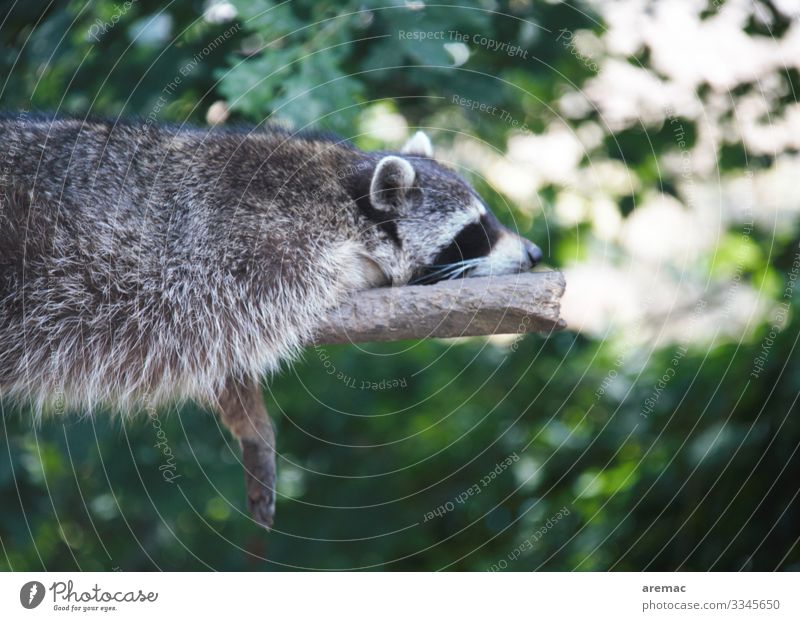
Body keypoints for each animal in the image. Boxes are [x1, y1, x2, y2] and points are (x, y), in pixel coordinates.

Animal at [0, 114, 544, 524]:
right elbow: (200, 337)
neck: (346, 201)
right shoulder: (242, 253)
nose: (536, 253)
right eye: (475, 230)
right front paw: (252, 422)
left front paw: (253, 429)